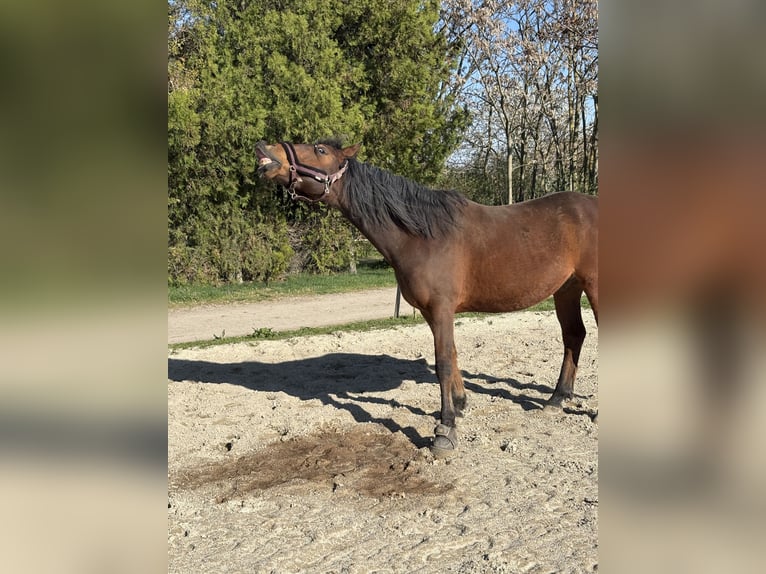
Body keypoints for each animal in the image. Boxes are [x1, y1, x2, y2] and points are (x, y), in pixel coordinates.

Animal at [255, 139, 598, 456]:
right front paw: (460, 404)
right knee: (574, 335)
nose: (265, 149)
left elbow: (443, 362)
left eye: (321, 150)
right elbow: (453, 355)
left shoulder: (441, 307)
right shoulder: (432, 312)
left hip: (594, 287)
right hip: (566, 289)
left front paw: (445, 429)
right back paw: (557, 398)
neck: (422, 235)